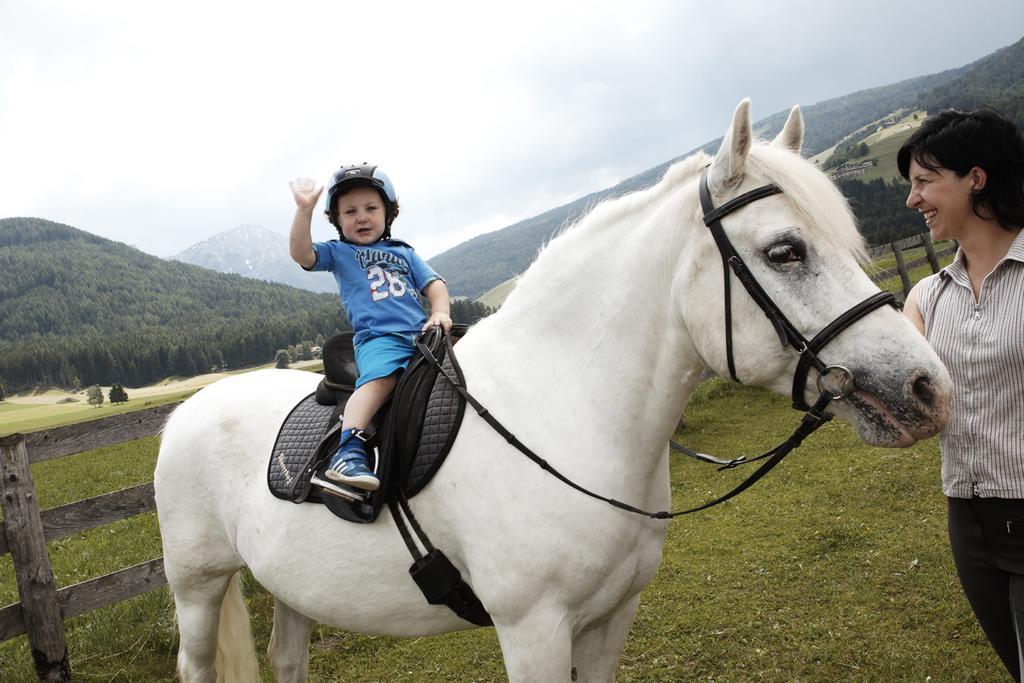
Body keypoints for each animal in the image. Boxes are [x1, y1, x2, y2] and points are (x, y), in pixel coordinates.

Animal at [151, 98, 950, 679]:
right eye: (785, 251)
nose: (927, 387)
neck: (566, 413)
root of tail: (186, 413)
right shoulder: (532, 628)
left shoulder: (610, 618)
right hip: (196, 587)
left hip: (288, 585)